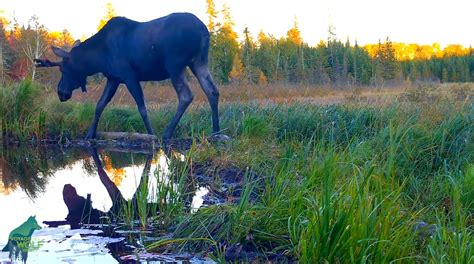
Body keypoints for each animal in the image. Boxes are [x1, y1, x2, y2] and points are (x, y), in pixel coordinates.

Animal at [35, 12, 222, 142]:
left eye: (63, 69)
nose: (61, 92)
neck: (97, 60)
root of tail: (203, 30)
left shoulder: (129, 75)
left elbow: (142, 108)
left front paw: (151, 134)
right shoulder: (113, 78)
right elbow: (100, 105)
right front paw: (89, 134)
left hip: (175, 65)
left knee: (186, 95)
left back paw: (167, 133)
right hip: (199, 61)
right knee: (212, 91)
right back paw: (216, 132)